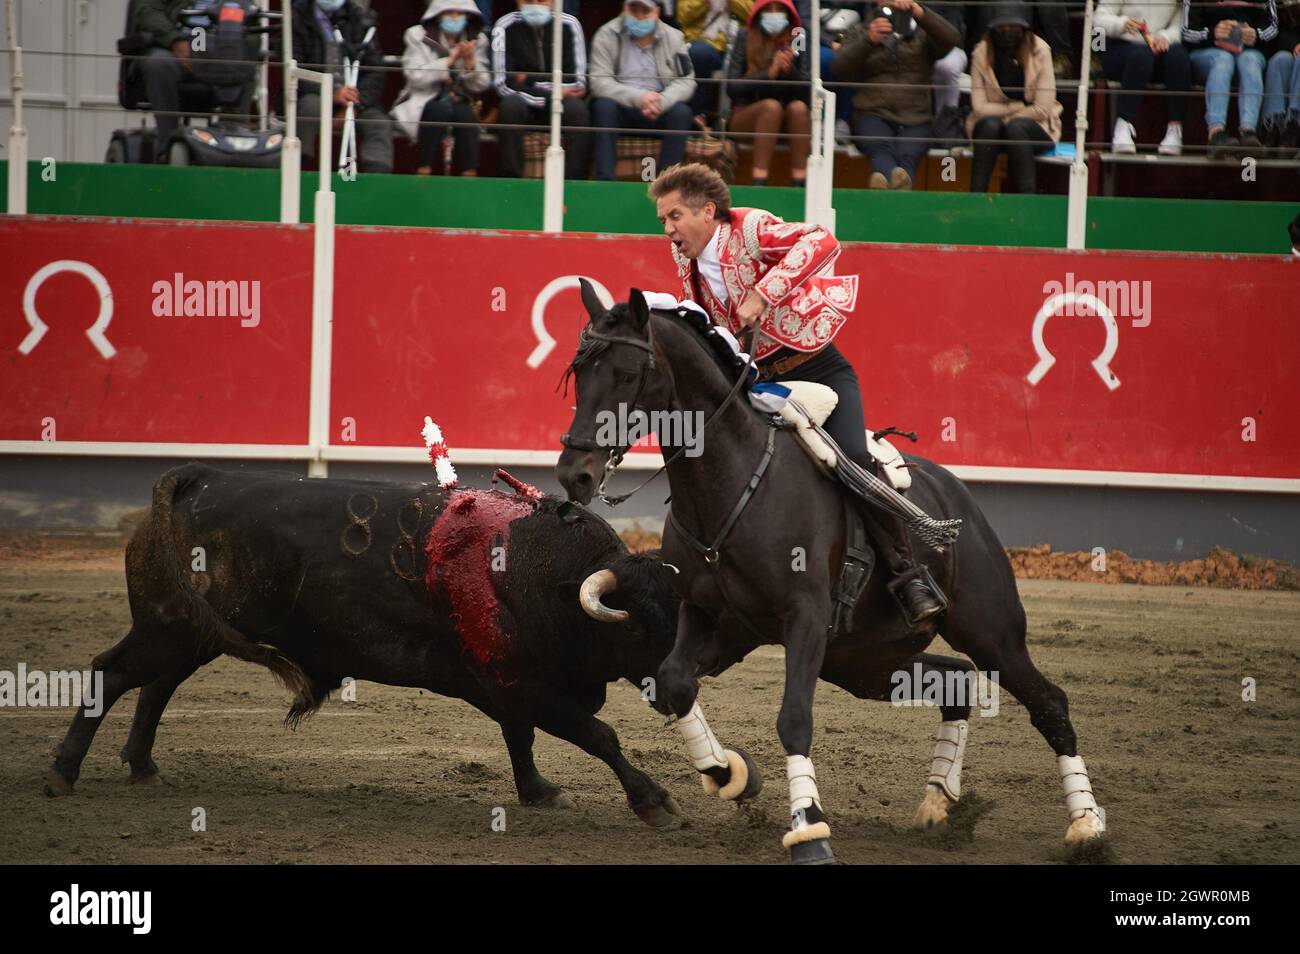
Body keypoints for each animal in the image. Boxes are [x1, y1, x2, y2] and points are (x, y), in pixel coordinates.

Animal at [43, 462, 691, 831]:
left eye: (681, 619)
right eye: (635, 627)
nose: (682, 692)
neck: (540, 571)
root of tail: (197, 478)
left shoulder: (508, 684)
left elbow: (522, 737)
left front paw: (538, 793)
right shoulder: (520, 683)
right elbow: (595, 735)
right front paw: (653, 800)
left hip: (188, 634)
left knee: (154, 684)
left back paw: (143, 767)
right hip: (167, 629)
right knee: (109, 673)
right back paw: (62, 775)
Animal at [553, 283, 1102, 868]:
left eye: (628, 373)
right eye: (579, 372)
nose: (574, 474)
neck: (734, 481)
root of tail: (959, 496)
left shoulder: (806, 620)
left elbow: (793, 718)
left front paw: (809, 832)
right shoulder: (709, 619)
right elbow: (673, 684)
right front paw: (731, 776)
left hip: (989, 632)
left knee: (1048, 702)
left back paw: (1087, 827)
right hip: (863, 661)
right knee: (955, 681)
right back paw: (938, 805)